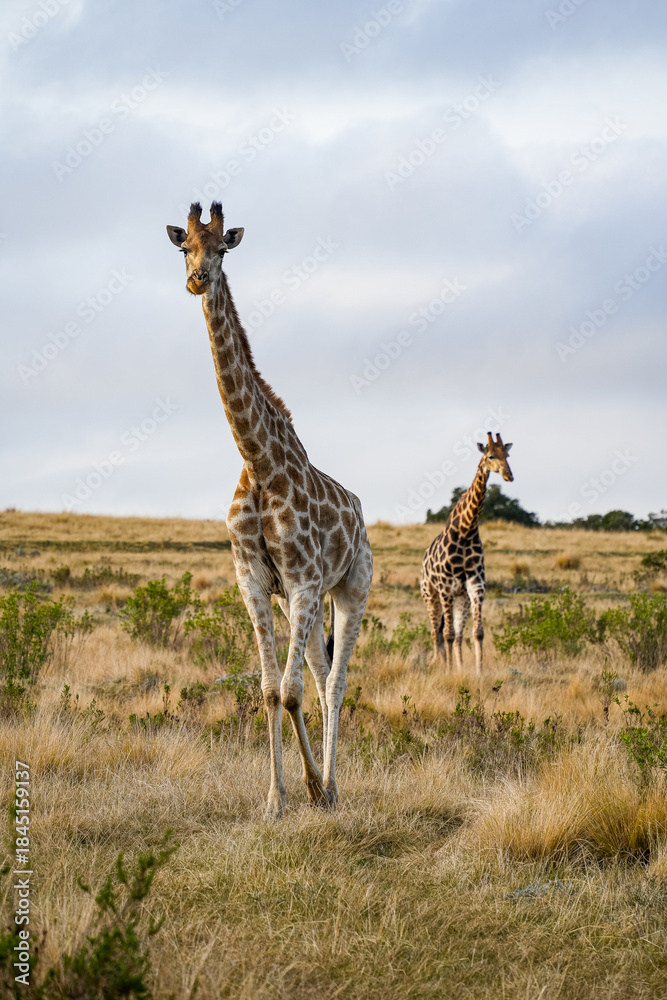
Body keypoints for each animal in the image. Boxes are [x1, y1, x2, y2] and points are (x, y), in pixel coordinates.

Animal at [166, 202, 373, 820]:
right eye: (182, 245)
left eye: (222, 248)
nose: (197, 279)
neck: (257, 462)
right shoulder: (256, 583)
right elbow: (267, 690)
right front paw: (277, 799)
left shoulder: (304, 581)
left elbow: (290, 689)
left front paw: (307, 789)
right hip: (300, 601)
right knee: (320, 676)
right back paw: (325, 785)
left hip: (351, 588)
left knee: (336, 682)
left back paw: (333, 786)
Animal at [420, 433, 513, 674]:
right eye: (490, 456)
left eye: (507, 455)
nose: (509, 475)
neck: (466, 530)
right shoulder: (445, 588)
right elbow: (447, 634)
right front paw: (448, 670)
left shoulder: (475, 585)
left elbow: (477, 632)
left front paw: (478, 672)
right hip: (430, 595)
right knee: (436, 631)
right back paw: (439, 663)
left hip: (461, 598)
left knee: (458, 634)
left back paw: (459, 667)